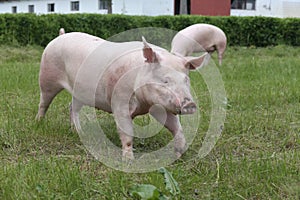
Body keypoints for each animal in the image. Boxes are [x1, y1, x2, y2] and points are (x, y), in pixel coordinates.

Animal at [36, 32, 207, 159]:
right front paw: (129, 160)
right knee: (44, 103)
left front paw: (180, 153)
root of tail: (60, 36)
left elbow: (176, 127)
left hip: (79, 92)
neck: (144, 104)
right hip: (47, 77)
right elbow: (126, 132)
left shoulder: (158, 106)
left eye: (186, 80)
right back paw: (39, 122)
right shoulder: (119, 101)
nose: (190, 104)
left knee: (72, 107)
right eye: (165, 80)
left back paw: (78, 131)